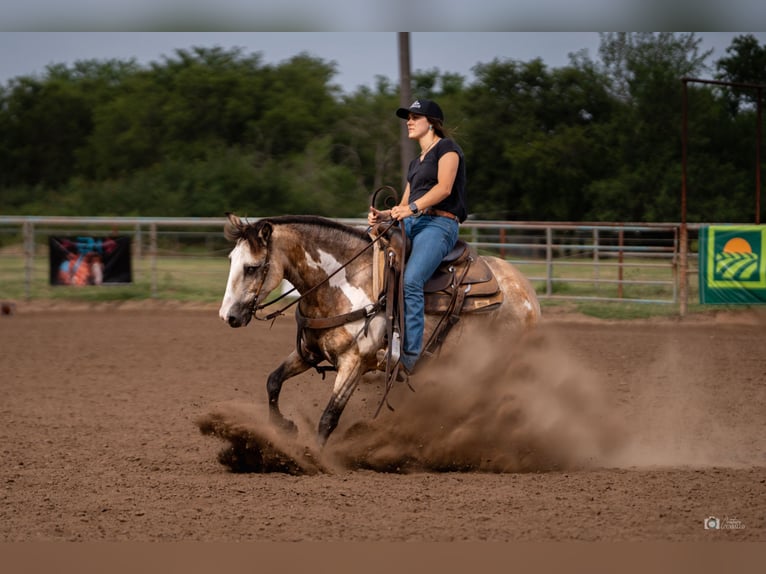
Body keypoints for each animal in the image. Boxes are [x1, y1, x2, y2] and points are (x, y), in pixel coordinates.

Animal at [218, 210, 540, 446]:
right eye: (232, 260)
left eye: (251, 267)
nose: (227, 316)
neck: (344, 283)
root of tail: (527, 292)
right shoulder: (310, 352)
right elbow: (273, 381)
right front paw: (284, 427)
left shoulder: (355, 363)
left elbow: (329, 418)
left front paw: (312, 458)